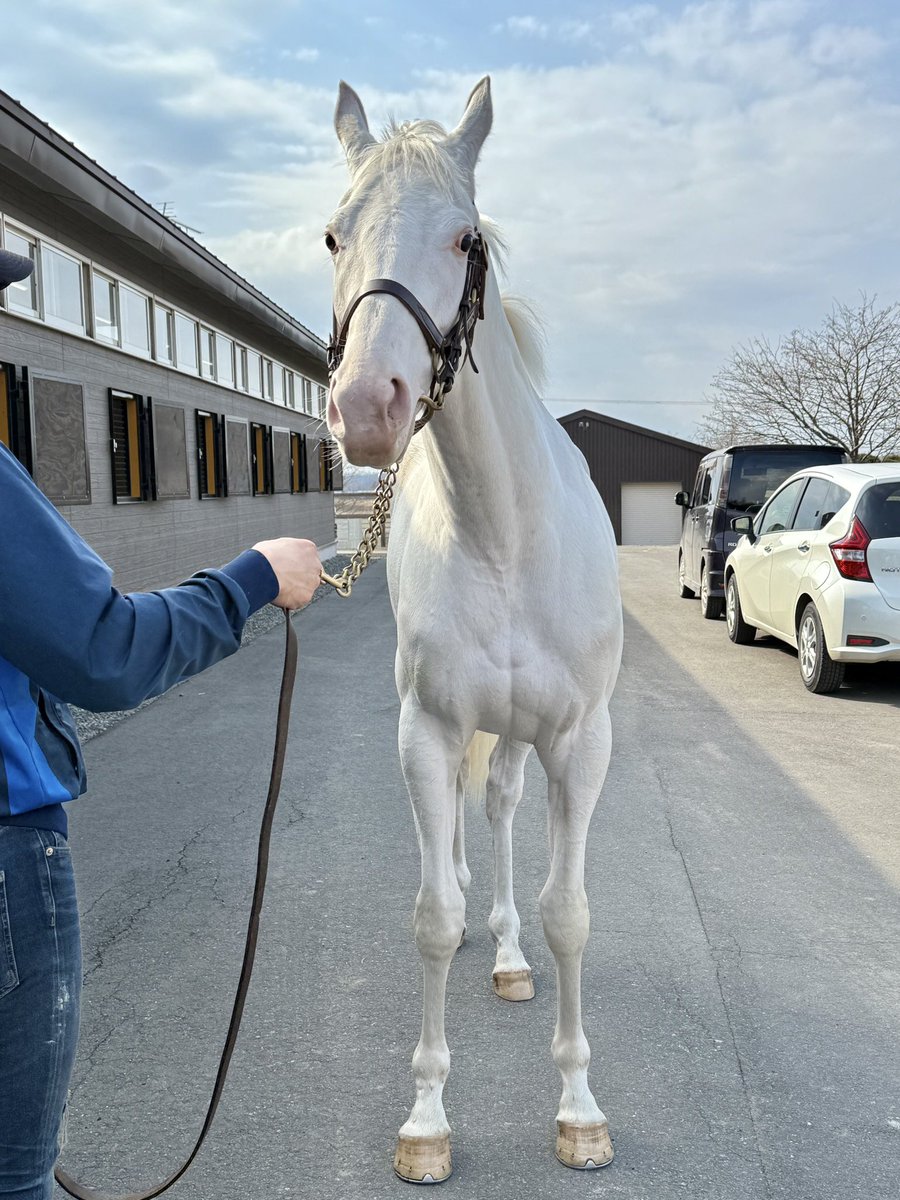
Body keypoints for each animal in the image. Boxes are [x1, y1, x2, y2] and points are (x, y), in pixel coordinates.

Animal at [324, 76, 623, 1183]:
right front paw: (427, 1121)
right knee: (463, 822)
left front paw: (579, 1109)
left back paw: (505, 957)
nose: (368, 407)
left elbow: (568, 915)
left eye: (465, 238)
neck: (503, 531)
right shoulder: (427, 730)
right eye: (334, 234)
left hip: (526, 740)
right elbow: (429, 917)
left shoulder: (580, 743)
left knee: (497, 814)